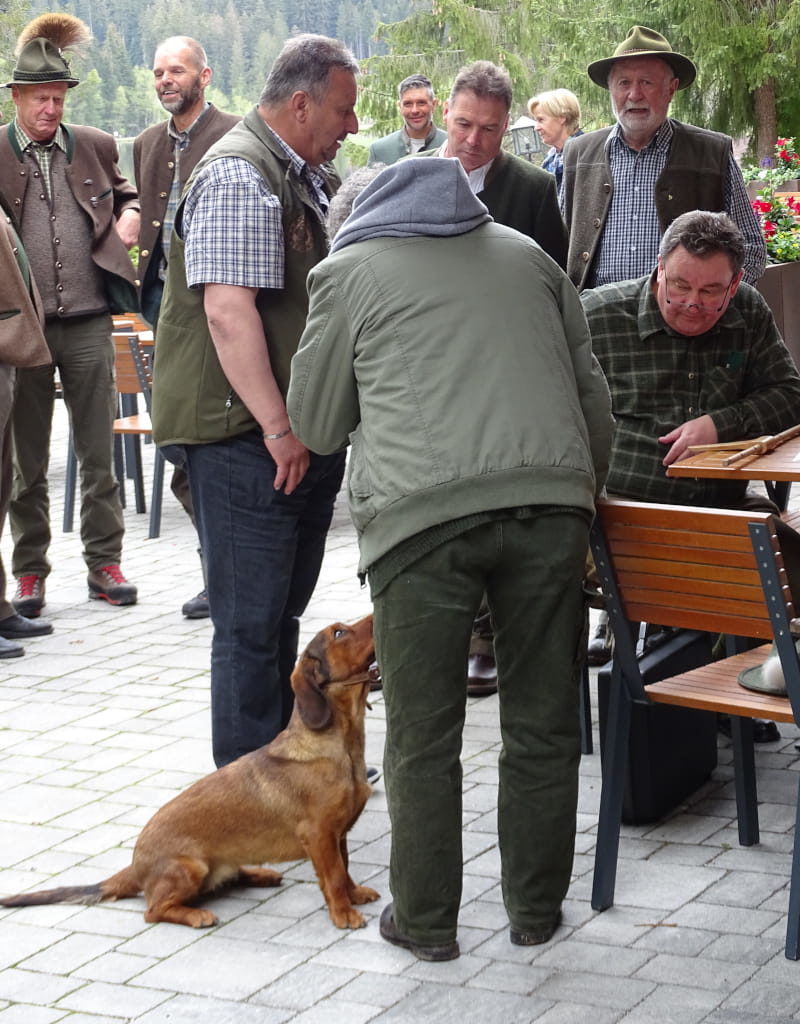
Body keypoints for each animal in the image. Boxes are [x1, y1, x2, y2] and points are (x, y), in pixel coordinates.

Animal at [0, 614, 381, 929]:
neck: (341, 746)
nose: (375, 612)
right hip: (190, 867)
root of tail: (136, 866)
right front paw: (344, 913)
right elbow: (334, 877)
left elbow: (345, 869)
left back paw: (259, 874)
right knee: (153, 910)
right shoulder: (319, 835)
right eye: (339, 633)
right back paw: (197, 914)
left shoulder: (337, 835)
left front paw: (355, 895)